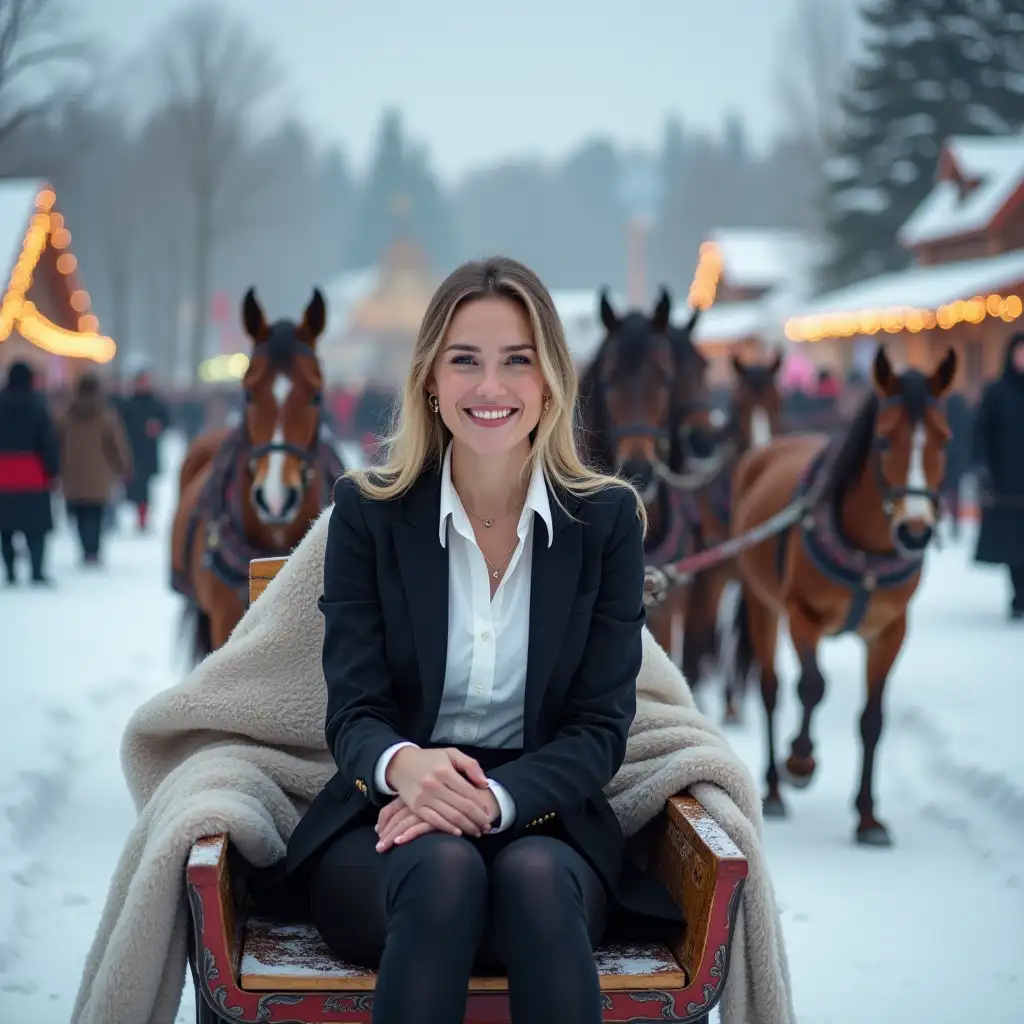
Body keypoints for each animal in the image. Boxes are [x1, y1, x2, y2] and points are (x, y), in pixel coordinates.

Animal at [684, 352, 786, 720]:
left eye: (776, 400)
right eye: (741, 404)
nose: (761, 452)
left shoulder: (747, 580)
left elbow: (742, 637)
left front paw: (733, 697)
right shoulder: (712, 576)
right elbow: (705, 630)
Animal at [729, 348, 950, 843]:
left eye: (944, 440)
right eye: (884, 441)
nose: (915, 531)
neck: (868, 554)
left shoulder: (891, 630)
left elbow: (873, 718)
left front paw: (868, 815)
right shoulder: (800, 614)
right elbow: (812, 685)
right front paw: (799, 760)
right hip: (760, 603)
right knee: (771, 688)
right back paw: (775, 787)